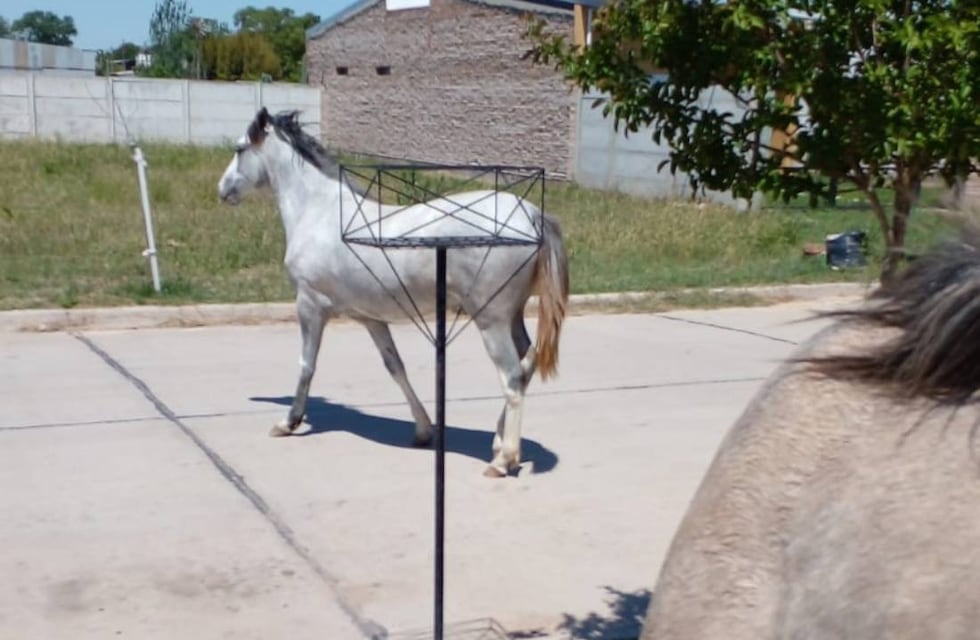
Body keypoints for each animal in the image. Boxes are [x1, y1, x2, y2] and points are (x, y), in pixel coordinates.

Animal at [217, 108, 569, 477]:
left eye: (240, 149)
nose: (222, 190)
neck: (320, 214)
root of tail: (532, 215)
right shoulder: (371, 318)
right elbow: (395, 367)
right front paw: (423, 430)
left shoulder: (310, 306)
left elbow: (306, 365)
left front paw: (288, 422)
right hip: (513, 315)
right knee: (528, 361)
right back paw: (499, 442)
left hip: (491, 320)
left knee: (513, 377)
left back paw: (503, 461)